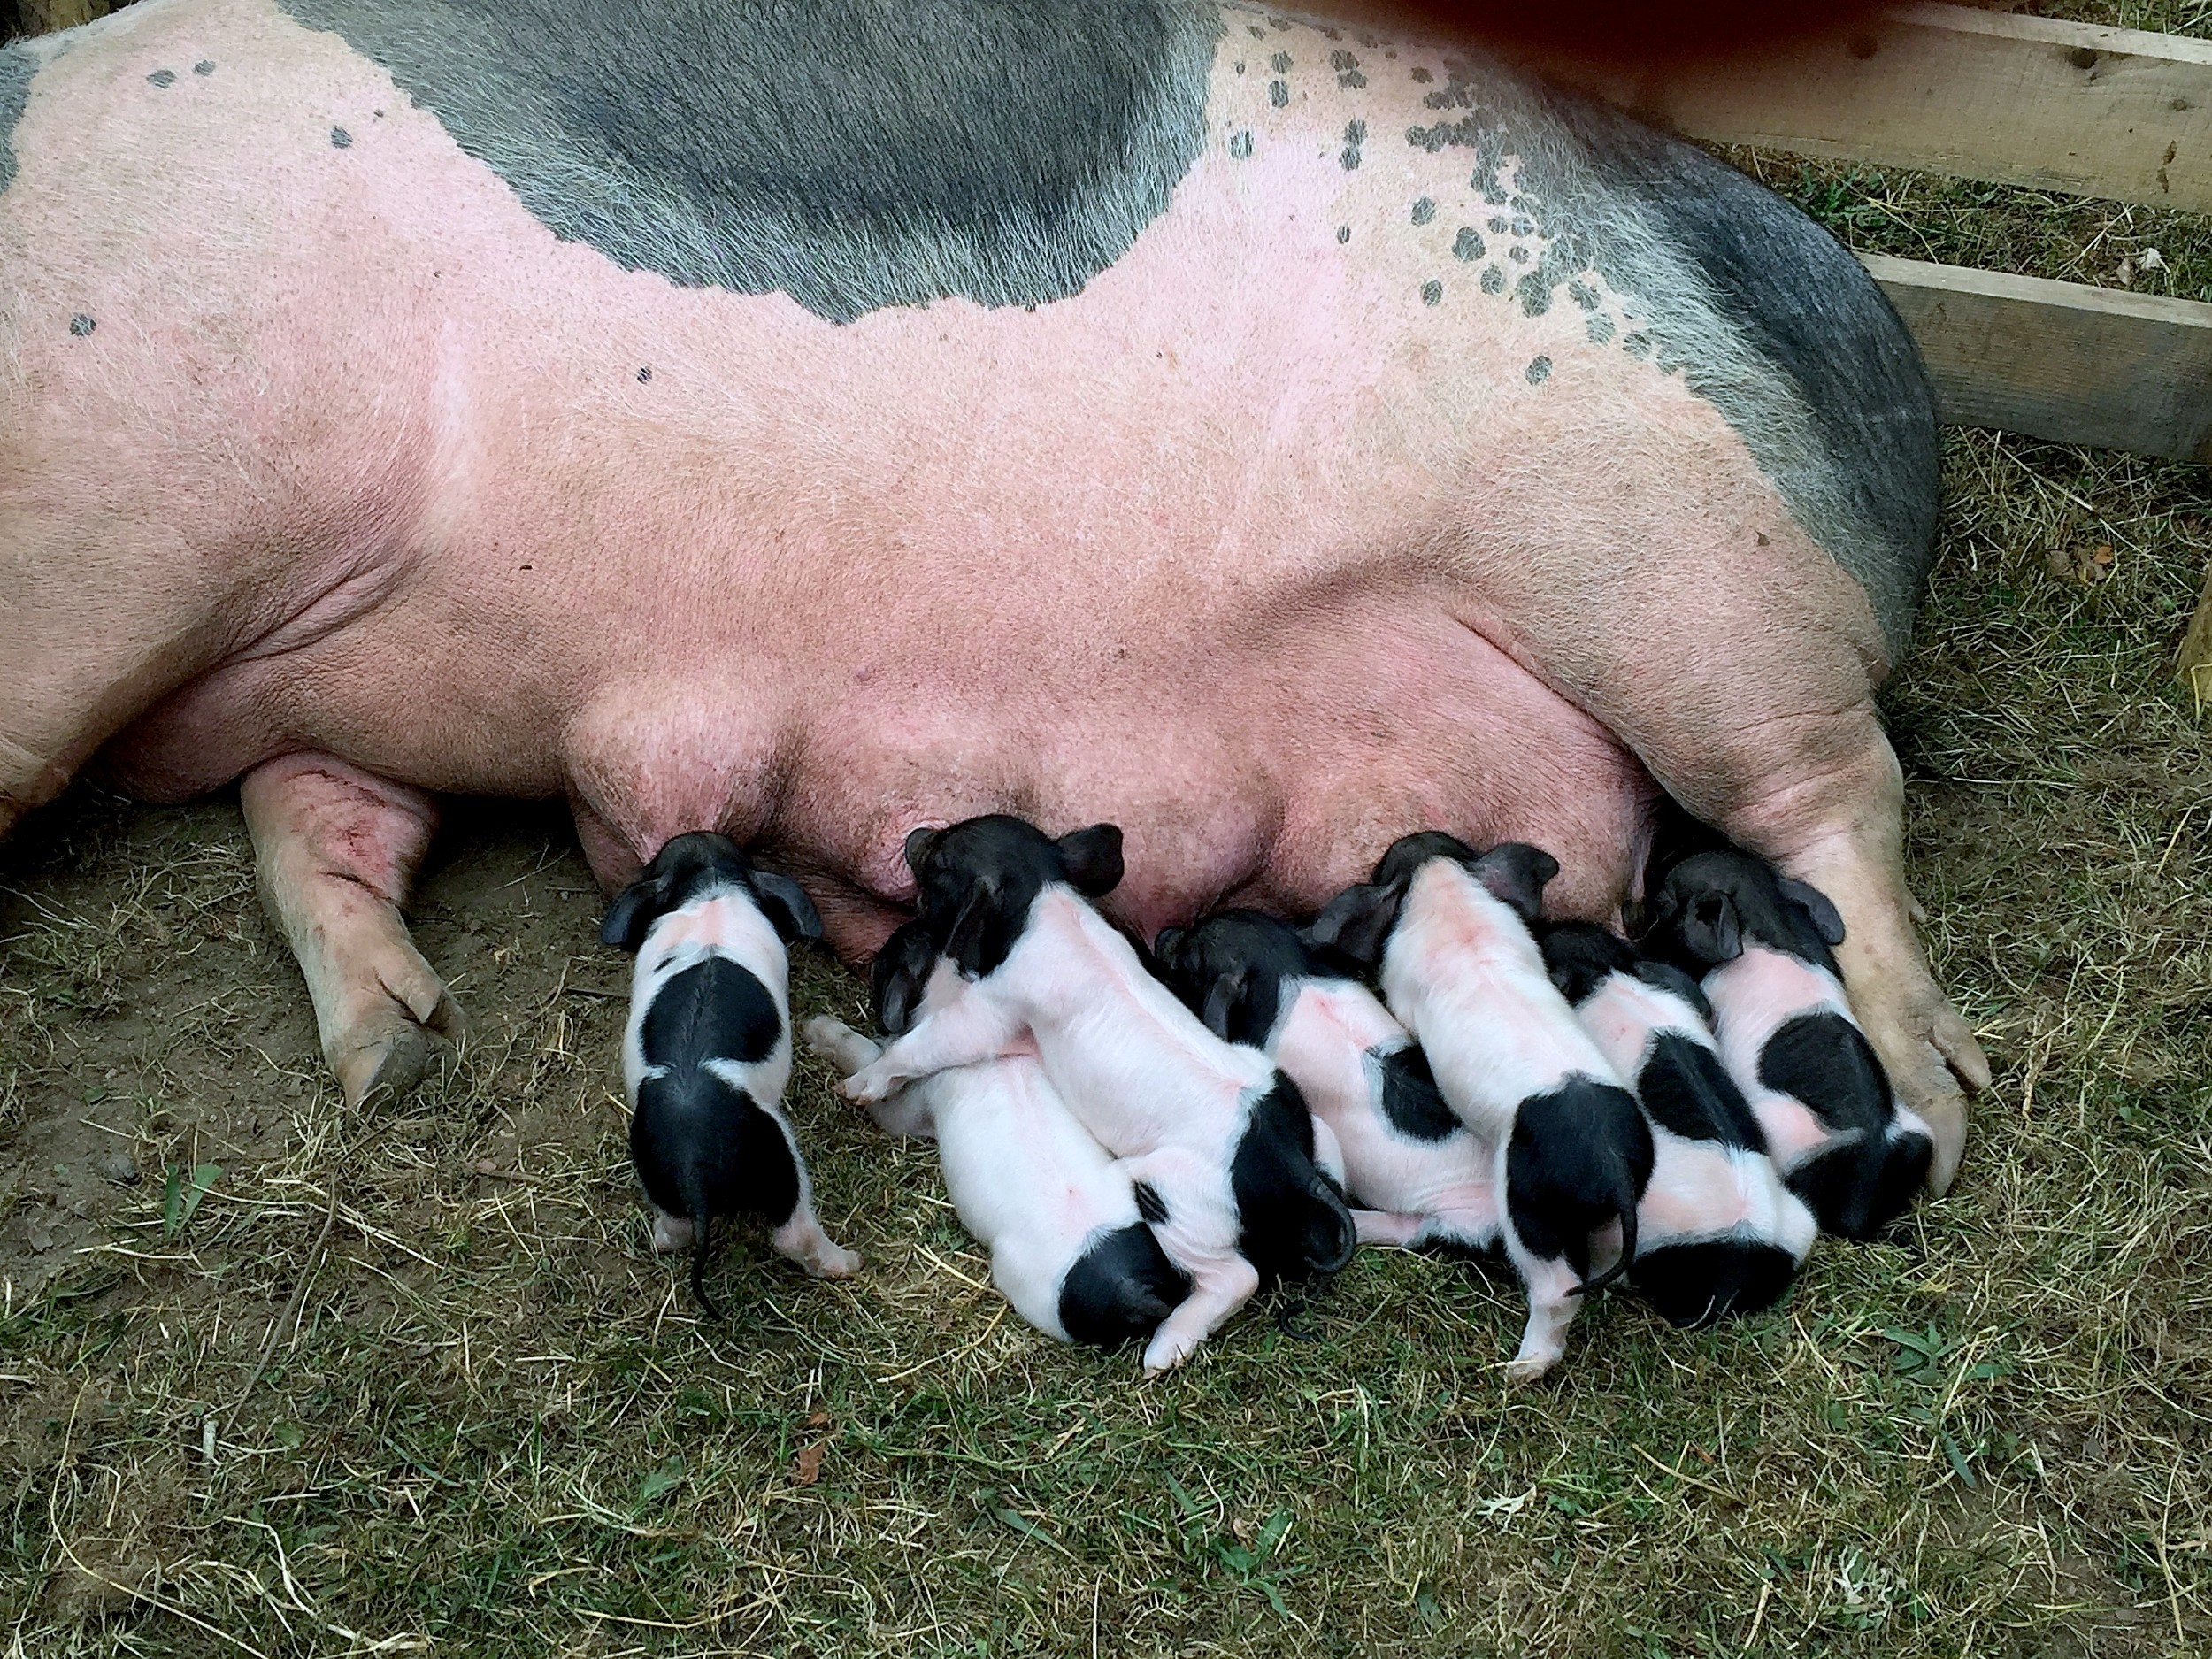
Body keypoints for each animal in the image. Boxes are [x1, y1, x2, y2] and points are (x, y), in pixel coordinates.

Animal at [4, 0, 1991, 1186]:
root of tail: (1873, 370)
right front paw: (390, 1053)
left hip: (1695, 572)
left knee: (1833, 794)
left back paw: (1938, 1106)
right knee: (320, 812)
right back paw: (390, 1056)